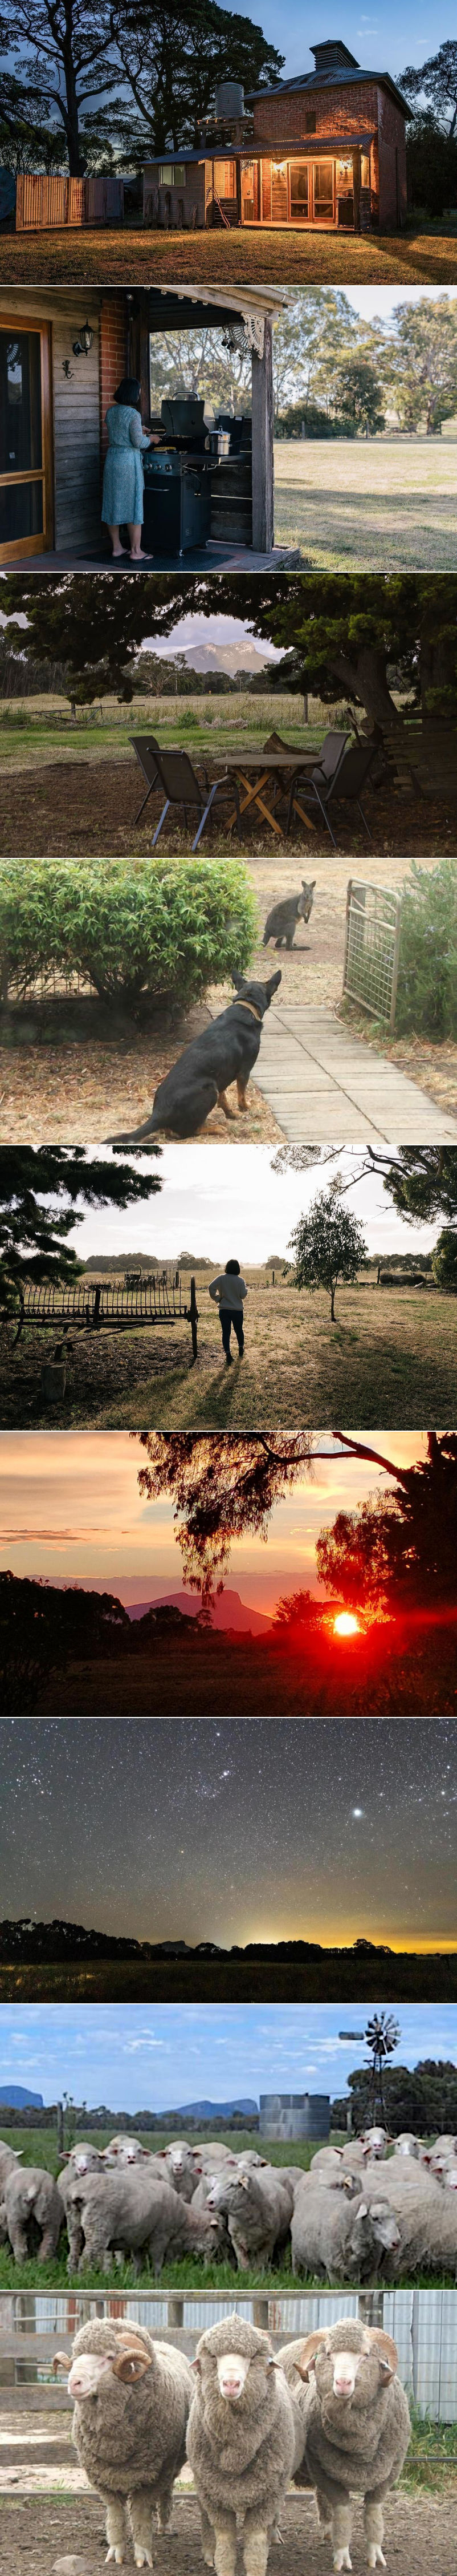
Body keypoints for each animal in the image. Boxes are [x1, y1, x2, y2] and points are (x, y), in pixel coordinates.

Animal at [0, 2164, 64, 2267]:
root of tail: (34, 2186)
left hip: (16, 2216)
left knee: (19, 2245)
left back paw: (21, 2265)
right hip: (50, 2215)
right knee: (49, 2242)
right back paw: (44, 2265)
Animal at [54, 2318, 194, 2576]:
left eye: (110, 2357)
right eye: (77, 2356)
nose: (74, 2383)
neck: (117, 2449)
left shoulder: (153, 2475)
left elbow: (140, 2516)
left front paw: (143, 2555)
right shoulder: (103, 2477)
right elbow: (116, 2516)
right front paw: (116, 2552)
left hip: (172, 2464)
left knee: (167, 2491)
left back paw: (164, 2525)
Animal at [105, 969, 282, 1144]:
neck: (246, 1006)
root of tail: (159, 1114)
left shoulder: (222, 1076)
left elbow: (224, 1098)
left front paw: (231, 1114)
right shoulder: (245, 1071)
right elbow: (241, 1096)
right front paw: (245, 1108)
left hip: (212, 1086)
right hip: (209, 1089)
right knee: (190, 1131)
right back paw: (216, 1128)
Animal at [186, 2318, 303, 2576]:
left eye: (252, 2359)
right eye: (215, 2357)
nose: (231, 2383)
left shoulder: (267, 2496)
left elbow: (256, 2545)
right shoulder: (215, 2496)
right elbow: (225, 2544)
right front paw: (220, 2562)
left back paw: (273, 2537)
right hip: (202, 2485)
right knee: (205, 2518)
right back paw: (208, 2552)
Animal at [278, 2318, 410, 2576]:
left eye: (366, 2355)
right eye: (328, 2354)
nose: (342, 2383)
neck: (359, 2446)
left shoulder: (390, 2472)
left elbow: (373, 2515)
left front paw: (375, 2555)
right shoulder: (325, 2472)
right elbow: (343, 2515)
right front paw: (341, 2556)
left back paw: (327, 2530)